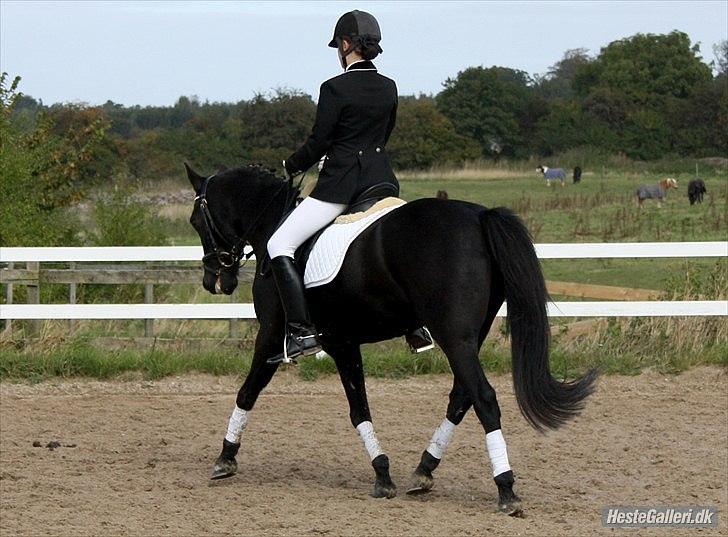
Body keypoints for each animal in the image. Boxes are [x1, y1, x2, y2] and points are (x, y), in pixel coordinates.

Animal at [185, 162, 596, 510]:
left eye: (196, 221)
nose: (214, 281)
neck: (271, 224)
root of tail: (479, 217)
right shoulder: (344, 342)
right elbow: (359, 408)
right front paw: (383, 473)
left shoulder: (274, 336)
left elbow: (249, 392)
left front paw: (225, 458)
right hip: (468, 337)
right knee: (461, 397)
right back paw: (424, 470)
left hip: (455, 338)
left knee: (483, 398)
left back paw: (505, 489)